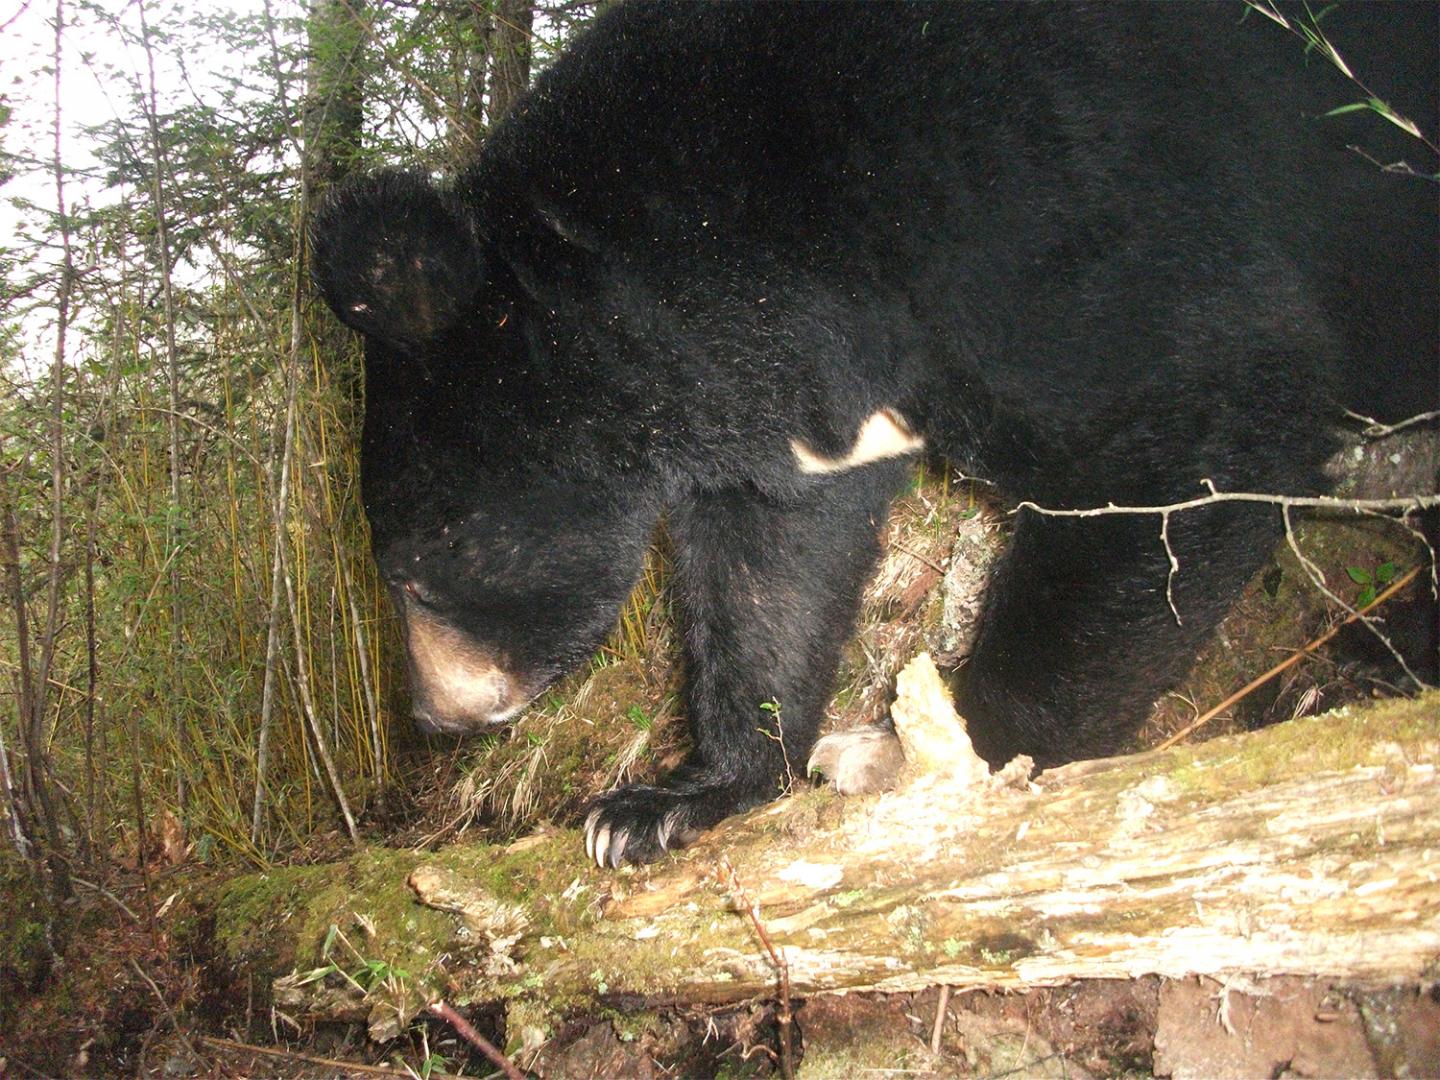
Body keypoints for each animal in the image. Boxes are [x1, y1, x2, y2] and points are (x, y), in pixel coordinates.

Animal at [315, 0, 1440, 864]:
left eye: (415, 563)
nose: (435, 715)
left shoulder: (1056, 194)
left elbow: (1202, 408)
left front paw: (940, 754)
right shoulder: (811, 420)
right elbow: (772, 575)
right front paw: (665, 802)